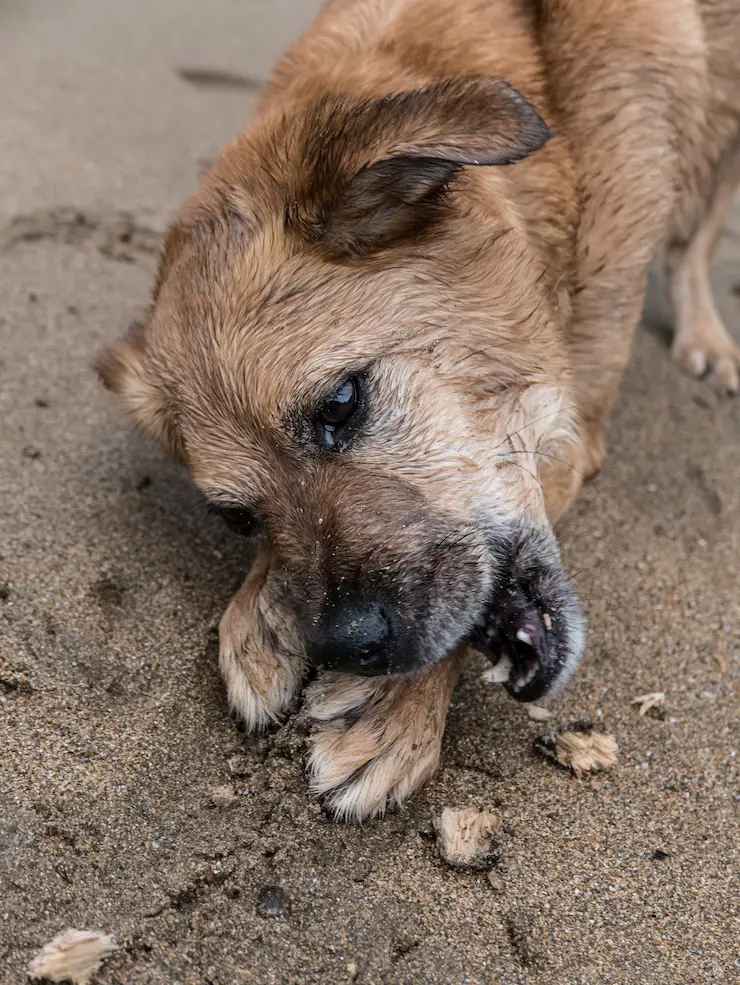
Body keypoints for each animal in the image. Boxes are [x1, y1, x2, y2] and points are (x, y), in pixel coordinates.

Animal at [94, 0, 740, 820]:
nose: (348, 644)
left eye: (341, 402)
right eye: (239, 519)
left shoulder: (575, 423)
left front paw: (393, 708)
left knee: (698, 233)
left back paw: (704, 335)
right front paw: (265, 612)